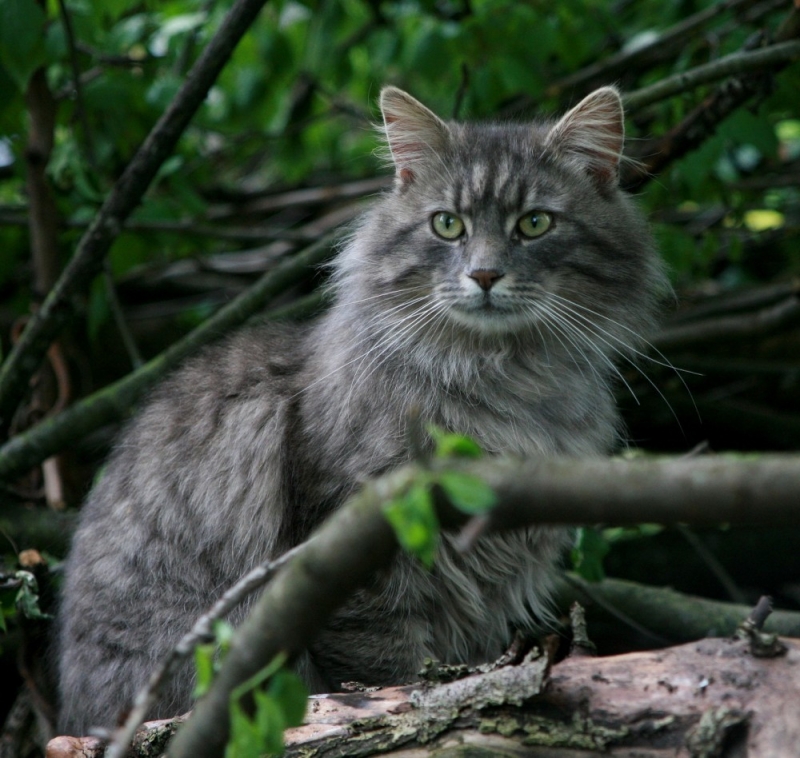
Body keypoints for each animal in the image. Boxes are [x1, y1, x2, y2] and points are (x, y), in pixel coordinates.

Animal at [56, 84, 664, 736]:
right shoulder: (362, 566)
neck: (502, 380)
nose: (484, 274)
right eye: (448, 224)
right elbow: (390, 669)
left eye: (535, 223)